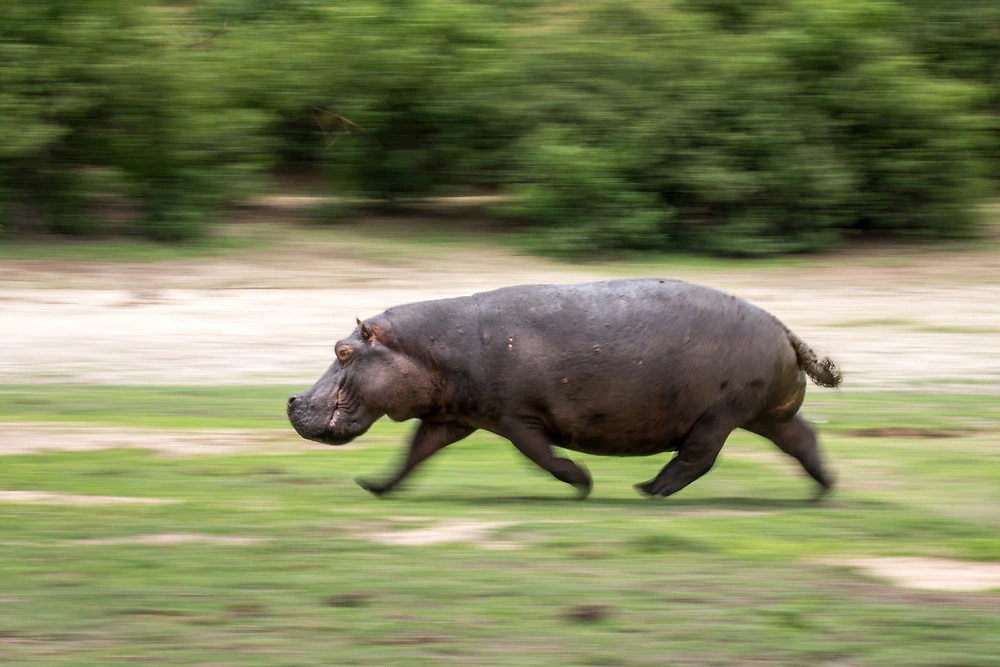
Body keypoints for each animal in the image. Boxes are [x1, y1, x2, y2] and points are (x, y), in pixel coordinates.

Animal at [290, 278, 844, 500]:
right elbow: (414, 454)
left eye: (342, 351)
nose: (292, 401)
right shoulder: (452, 417)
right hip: (765, 414)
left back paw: (647, 490)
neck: (431, 347)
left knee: (698, 457)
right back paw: (824, 489)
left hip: (721, 415)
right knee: (803, 440)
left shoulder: (516, 417)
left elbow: (539, 455)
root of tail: (786, 329)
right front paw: (375, 487)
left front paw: (581, 482)